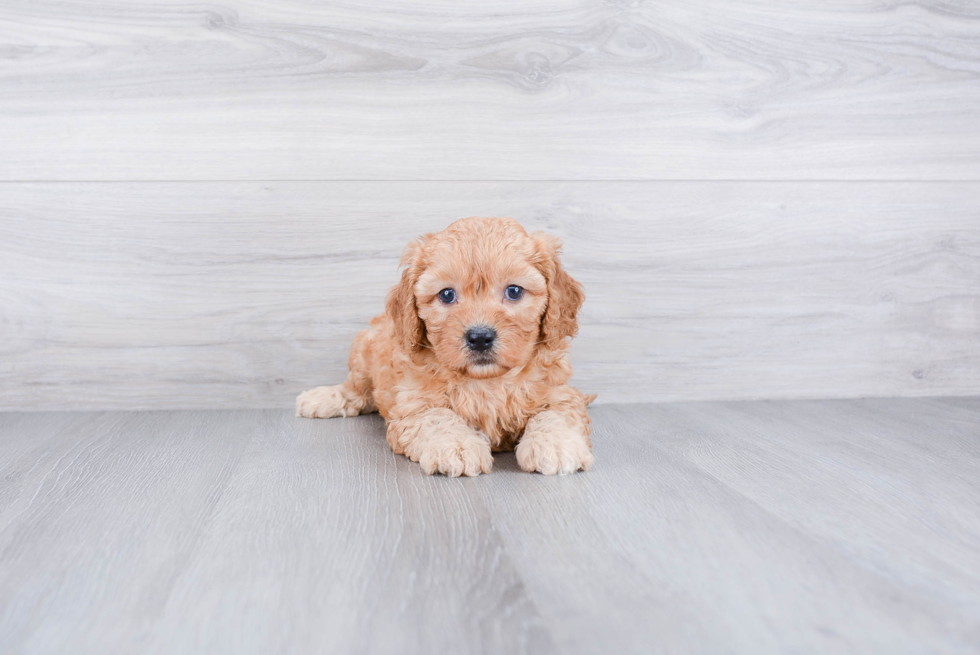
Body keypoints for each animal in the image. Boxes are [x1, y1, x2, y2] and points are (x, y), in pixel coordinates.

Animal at [294, 218, 592, 480]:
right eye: (447, 295)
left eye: (515, 291)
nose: (480, 337)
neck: (486, 381)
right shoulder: (413, 406)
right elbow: (437, 417)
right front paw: (457, 447)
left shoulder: (561, 393)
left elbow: (554, 414)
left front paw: (556, 445)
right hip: (363, 350)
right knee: (357, 390)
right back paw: (322, 398)